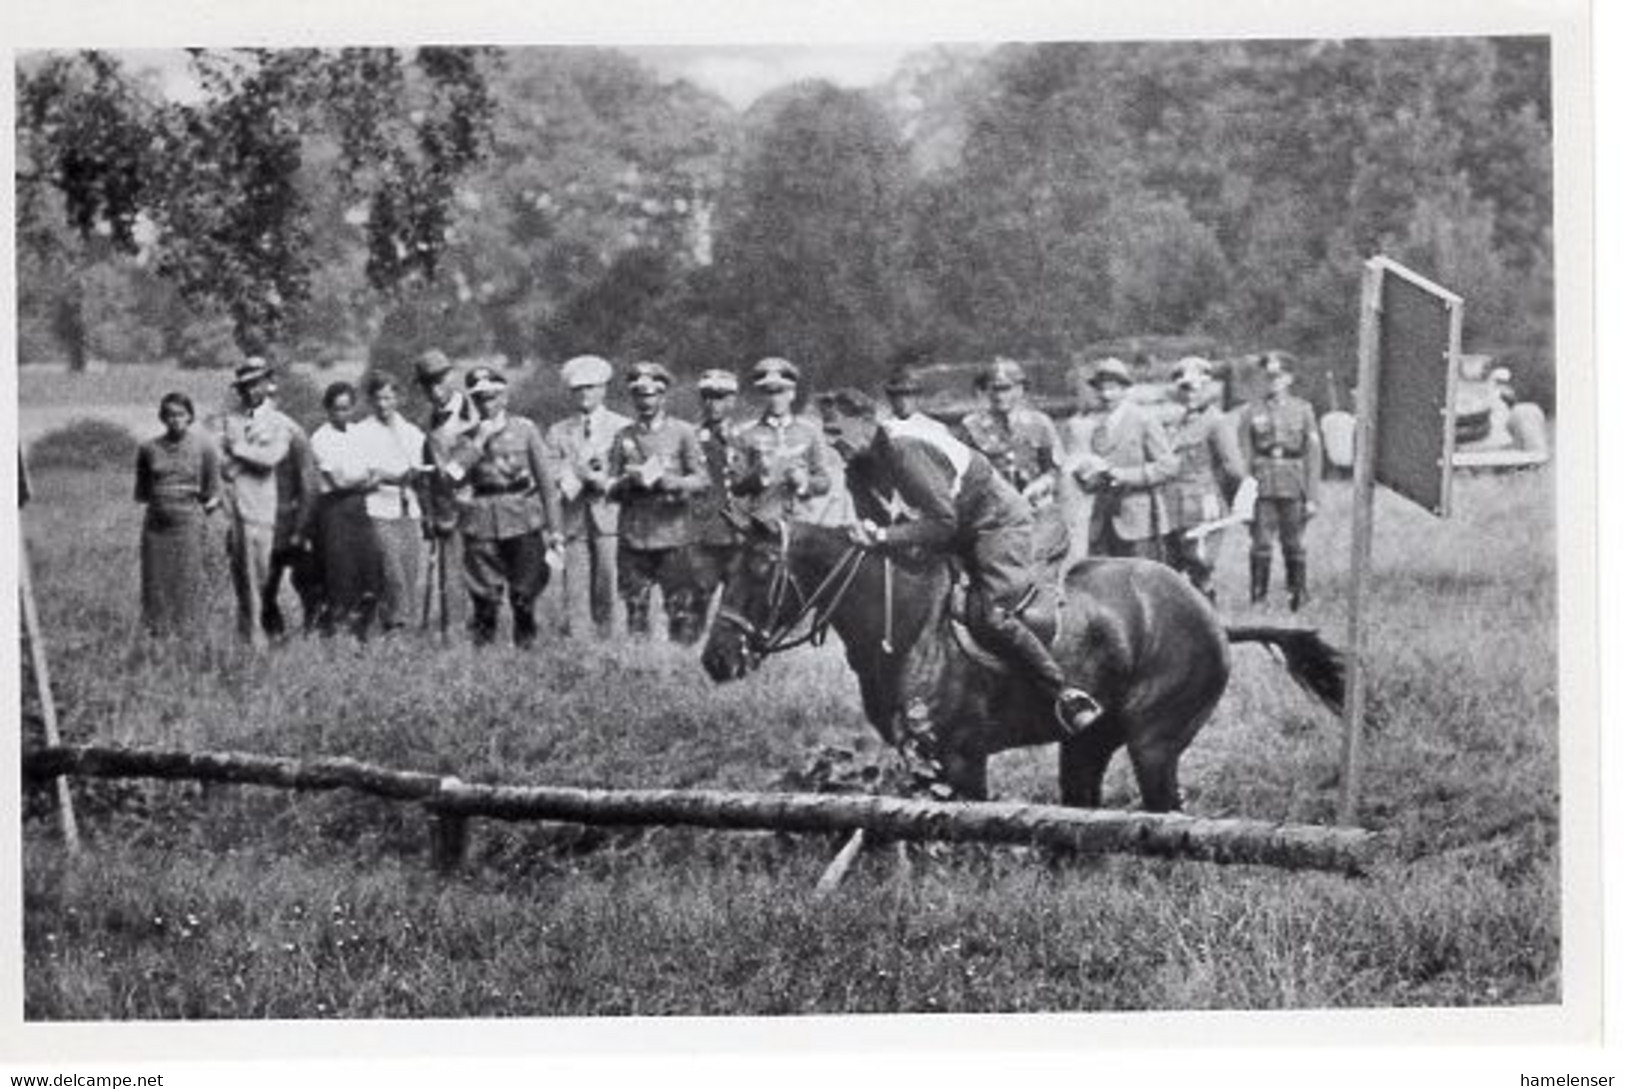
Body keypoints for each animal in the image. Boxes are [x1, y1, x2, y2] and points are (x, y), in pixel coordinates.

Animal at [698, 516, 1345, 809]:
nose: (716, 659)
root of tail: (1210, 615)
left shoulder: (961, 759)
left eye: (760, 569)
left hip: (1154, 743)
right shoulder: (922, 761)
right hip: (1086, 744)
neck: (904, 624)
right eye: (724, 570)